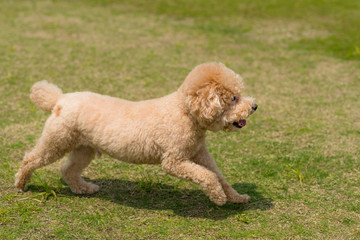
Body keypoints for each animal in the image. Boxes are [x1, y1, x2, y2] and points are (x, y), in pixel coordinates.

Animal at [14, 62, 256, 205]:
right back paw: (21, 184)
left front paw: (237, 197)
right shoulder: (174, 161)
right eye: (233, 98)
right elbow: (208, 176)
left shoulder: (199, 153)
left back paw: (83, 188)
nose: (254, 106)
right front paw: (218, 197)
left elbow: (218, 175)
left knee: (68, 170)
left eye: (239, 94)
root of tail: (60, 99)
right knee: (31, 159)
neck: (185, 112)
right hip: (57, 141)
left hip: (84, 148)